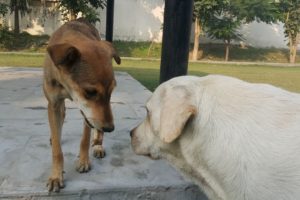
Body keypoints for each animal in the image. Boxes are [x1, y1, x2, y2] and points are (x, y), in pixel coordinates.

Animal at [43, 19, 120, 192]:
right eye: (90, 92)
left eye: (112, 90)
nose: (110, 128)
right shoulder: (54, 104)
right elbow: (57, 149)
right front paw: (56, 176)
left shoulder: (88, 114)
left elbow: (85, 138)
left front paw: (84, 161)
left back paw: (98, 145)